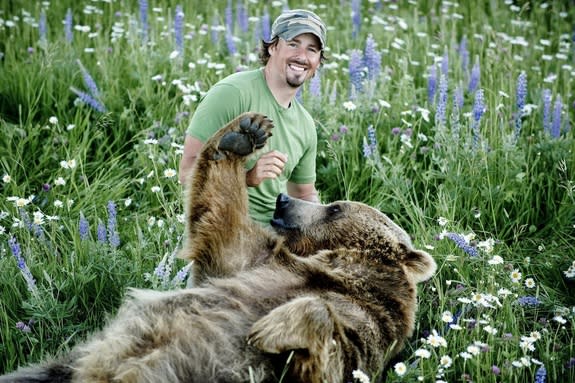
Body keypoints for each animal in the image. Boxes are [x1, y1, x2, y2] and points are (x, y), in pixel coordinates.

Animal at [1, 112, 436, 382]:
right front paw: (243, 134)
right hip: (63, 364)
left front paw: (268, 327)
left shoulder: (365, 328)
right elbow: (221, 219)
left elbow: (328, 353)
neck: (337, 270)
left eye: (334, 208)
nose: (283, 200)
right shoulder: (256, 262)